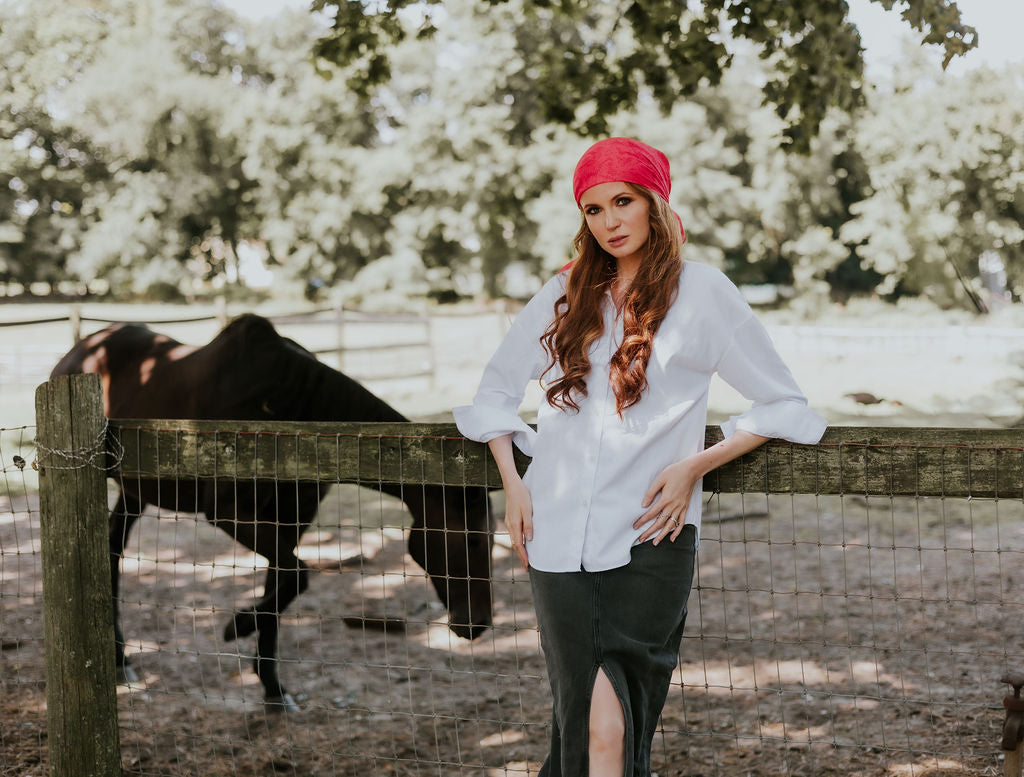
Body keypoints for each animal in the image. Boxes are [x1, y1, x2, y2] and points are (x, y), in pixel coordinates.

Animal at [50, 315, 491, 712]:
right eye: (470, 539)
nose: (477, 625)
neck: (288, 412)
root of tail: (75, 355)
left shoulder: (290, 518)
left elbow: (283, 586)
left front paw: (272, 687)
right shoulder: (228, 513)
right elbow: (297, 576)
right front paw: (237, 626)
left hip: (136, 492)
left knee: (112, 549)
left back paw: (120, 658)